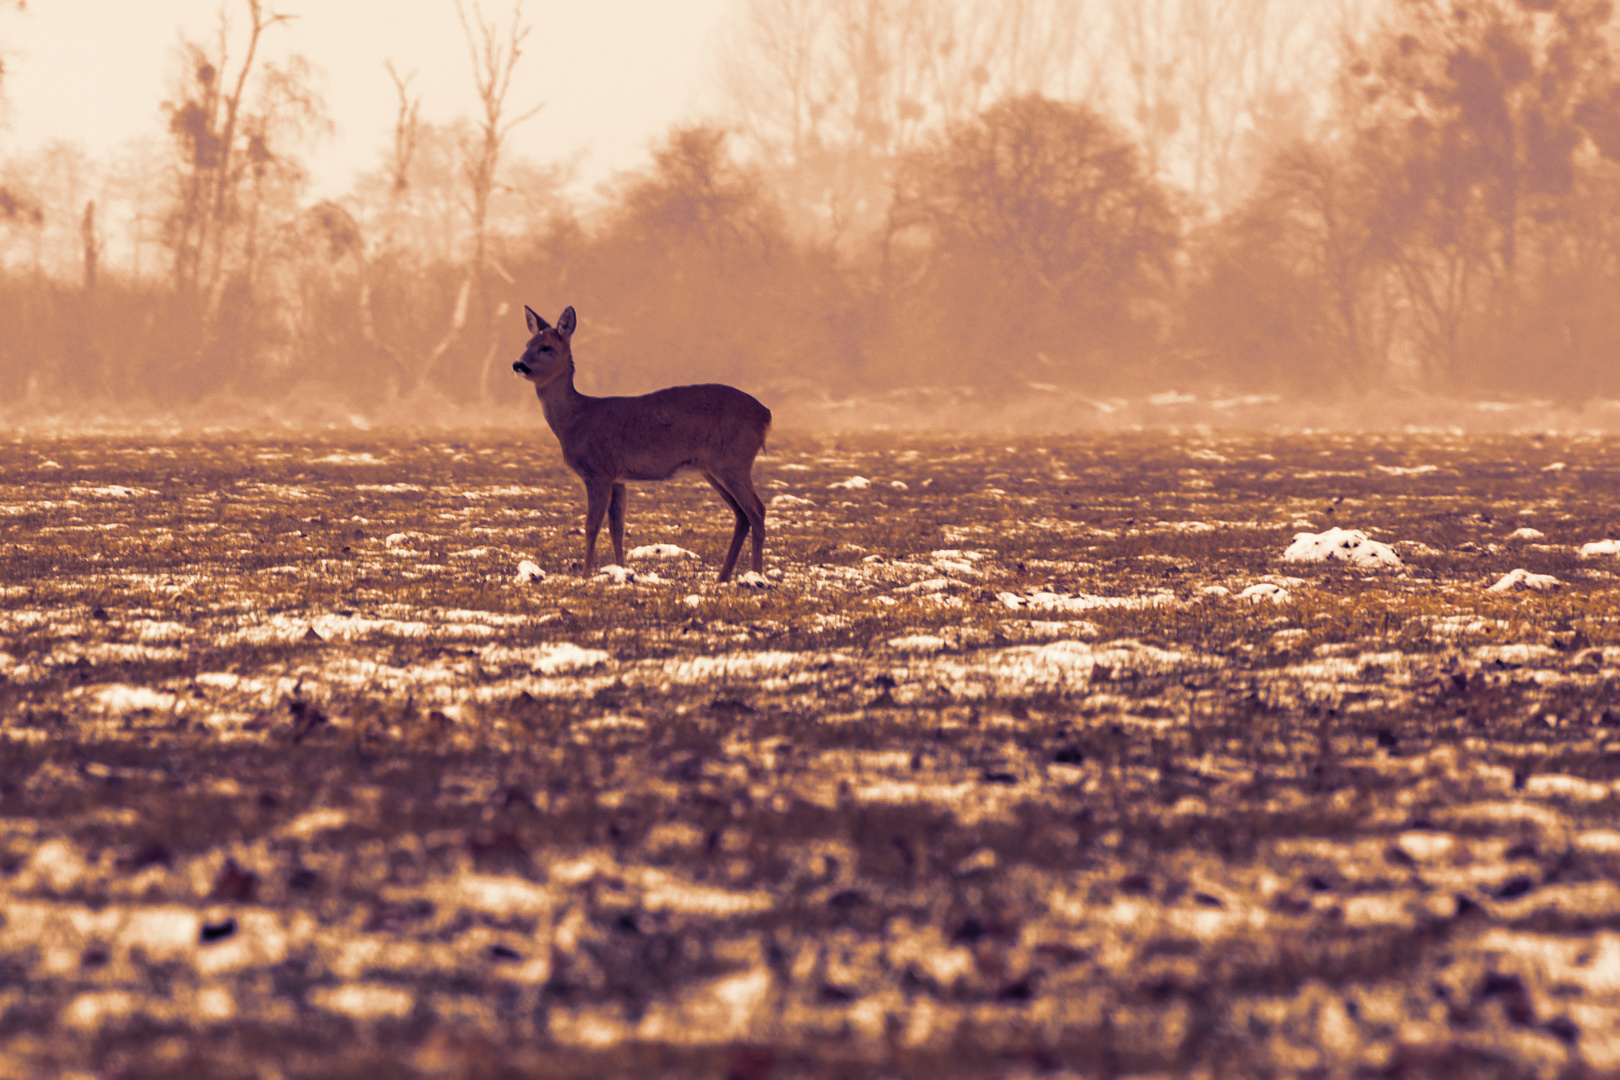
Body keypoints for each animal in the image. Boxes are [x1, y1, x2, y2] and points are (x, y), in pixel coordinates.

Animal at [515, 304, 774, 582]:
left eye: (546, 347)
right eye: (527, 343)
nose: (518, 364)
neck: (575, 418)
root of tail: (766, 415)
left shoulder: (598, 471)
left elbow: (591, 525)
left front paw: (585, 575)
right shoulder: (618, 477)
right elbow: (617, 526)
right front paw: (622, 571)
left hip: (733, 461)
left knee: (757, 510)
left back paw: (756, 575)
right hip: (713, 469)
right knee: (742, 514)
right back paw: (723, 576)